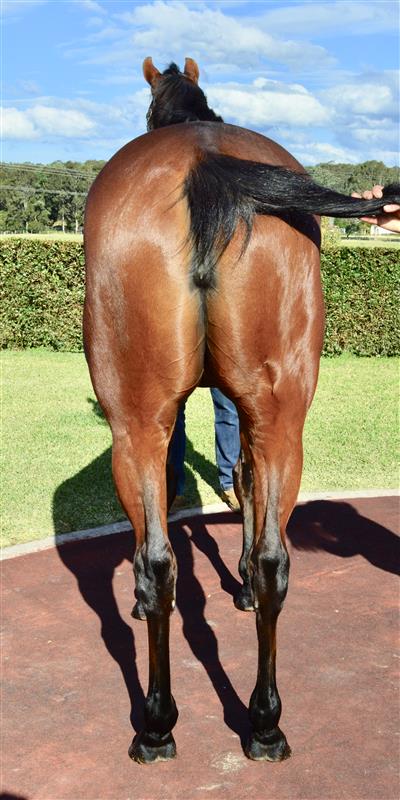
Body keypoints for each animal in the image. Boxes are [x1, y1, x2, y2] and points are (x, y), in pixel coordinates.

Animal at [83, 58, 399, 764]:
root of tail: (206, 163)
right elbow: (244, 493)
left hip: (139, 420)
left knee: (159, 562)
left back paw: (160, 723)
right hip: (274, 416)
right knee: (267, 560)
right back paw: (262, 722)